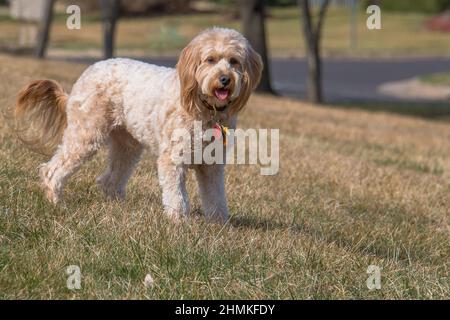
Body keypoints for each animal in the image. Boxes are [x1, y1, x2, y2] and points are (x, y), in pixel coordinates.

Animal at [12, 26, 262, 222]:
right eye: (210, 59)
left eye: (234, 61)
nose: (225, 79)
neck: (205, 107)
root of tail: (85, 74)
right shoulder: (173, 159)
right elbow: (176, 196)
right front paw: (178, 222)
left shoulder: (211, 164)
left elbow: (216, 196)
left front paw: (219, 224)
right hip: (86, 134)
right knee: (52, 170)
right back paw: (56, 201)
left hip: (127, 146)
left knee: (110, 179)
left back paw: (118, 208)